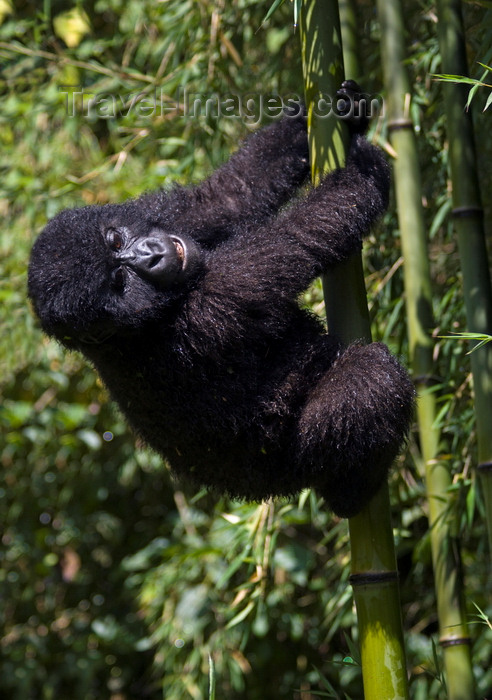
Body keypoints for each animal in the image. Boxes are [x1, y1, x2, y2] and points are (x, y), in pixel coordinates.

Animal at [28, 83, 414, 520]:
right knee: (371, 375)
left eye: (115, 241)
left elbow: (230, 194)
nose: (149, 255)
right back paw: (354, 492)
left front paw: (338, 109)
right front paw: (365, 167)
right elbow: (302, 235)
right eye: (119, 282)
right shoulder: (207, 313)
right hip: (293, 471)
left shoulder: (158, 214)